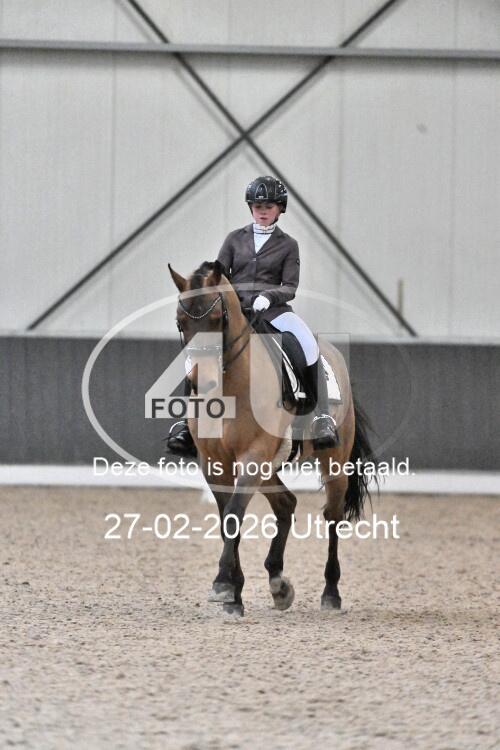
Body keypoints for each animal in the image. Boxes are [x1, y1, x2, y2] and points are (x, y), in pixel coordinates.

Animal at [168, 260, 373, 616]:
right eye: (181, 322)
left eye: (217, 319)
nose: (201, 383)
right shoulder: (215, 463)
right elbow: (226, 519)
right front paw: (234, 592)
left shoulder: (253, 455)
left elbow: (234, 514)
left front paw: (223, 586)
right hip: (268, 466)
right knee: (286, 503)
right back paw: (278, 583)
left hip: (332, 461)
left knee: (333, 517)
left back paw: (330, 593)